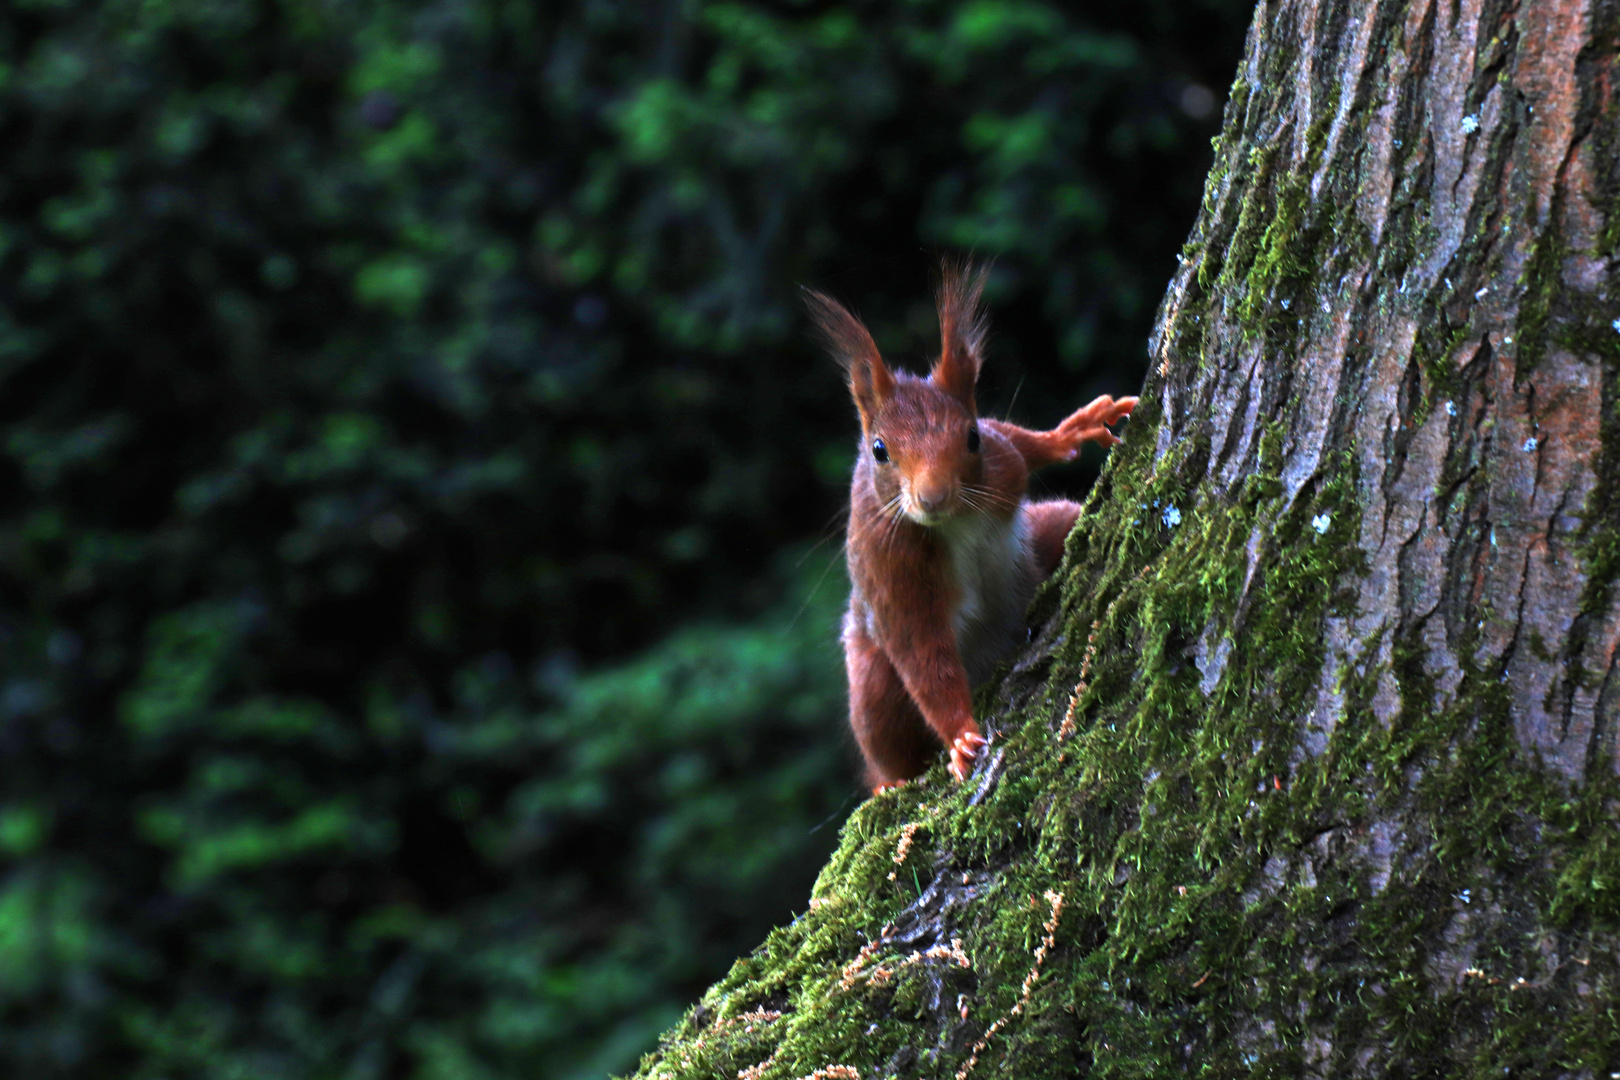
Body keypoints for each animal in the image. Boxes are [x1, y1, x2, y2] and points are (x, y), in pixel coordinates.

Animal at [803, 268, 1134, 793]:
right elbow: (923, 656)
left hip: (1047, 527)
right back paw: (891, 782)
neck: (956, 522)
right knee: (885, 732)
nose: (933, 497)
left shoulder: (1003, 464)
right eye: (879, 450)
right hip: (872, 682)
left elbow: (1020, 444)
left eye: (973, 437)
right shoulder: (889, 565)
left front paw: (1071, 431)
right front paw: (960, 736)